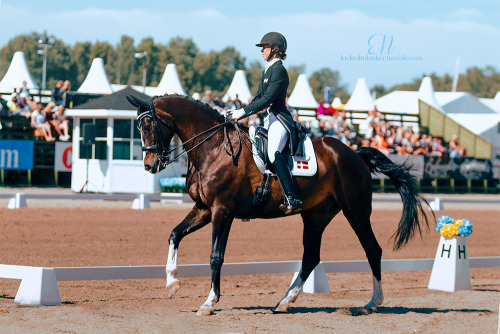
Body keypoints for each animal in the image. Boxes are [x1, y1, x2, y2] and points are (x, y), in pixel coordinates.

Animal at [127, 93, 432, 316]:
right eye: (139, 127)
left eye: (149, 125)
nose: (150, 165)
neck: (212, 148)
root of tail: (354, 153)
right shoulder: (204, 209)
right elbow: (174, 234)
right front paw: (172, 283)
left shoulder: (222, 210)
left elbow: (216, 256)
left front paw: (209, 302)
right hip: (315, 216)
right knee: (311, 257)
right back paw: (285, 301)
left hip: (355, 210)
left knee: (372, 249)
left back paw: (372, 302)